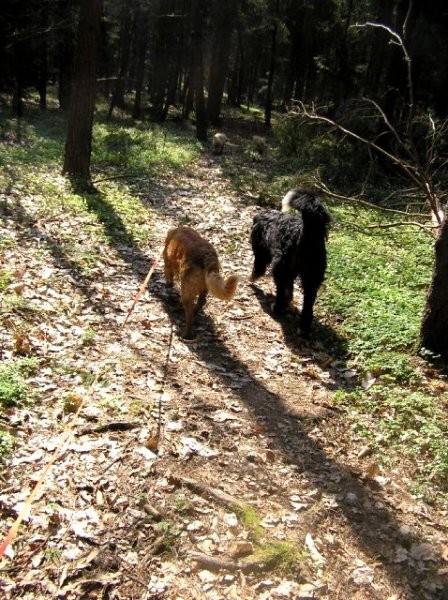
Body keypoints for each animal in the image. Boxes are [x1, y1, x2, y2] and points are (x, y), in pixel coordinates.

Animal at [250, 188, 330, 336]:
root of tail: (306, 234)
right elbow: (290, 287)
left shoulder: (261, 253)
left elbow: (258, 268)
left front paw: (252, 278)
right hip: (312, 277)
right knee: (308, 305)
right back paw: (303, 327)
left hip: (280, 267)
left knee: (281, 290)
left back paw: (277, 307)